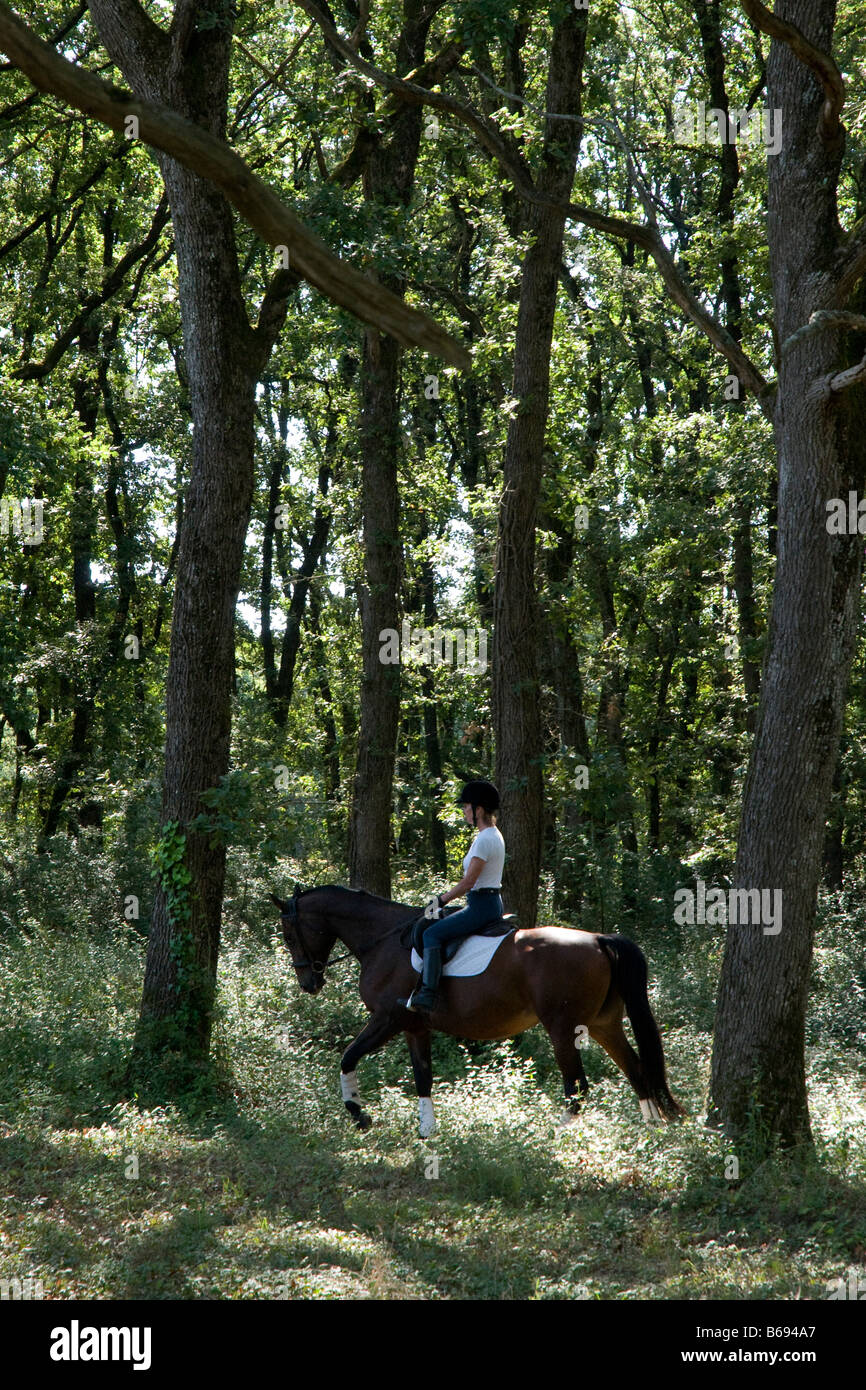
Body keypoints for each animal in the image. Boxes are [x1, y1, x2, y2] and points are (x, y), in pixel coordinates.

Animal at [272, 884, 683, 1134]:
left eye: (289, 934)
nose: (308, 983)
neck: (383, 939)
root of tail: (599, 939)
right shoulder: (415, 1027)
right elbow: (423, 1078)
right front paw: (427, 1131)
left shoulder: (388, 1018)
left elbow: (348, 1057)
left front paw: (359, 1114)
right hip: (603, 1024)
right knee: (637, 1071)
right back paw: (652, 1131)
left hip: (563, 1028)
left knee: (577, 1087)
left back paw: (556, 1136)